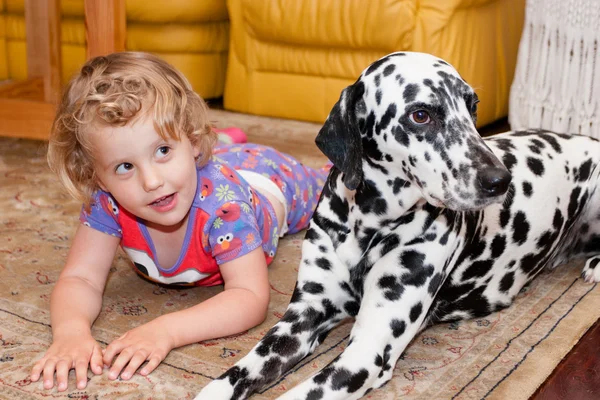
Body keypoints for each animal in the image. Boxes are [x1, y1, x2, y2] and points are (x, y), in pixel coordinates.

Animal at [198, 53, 600, 400]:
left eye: (472, 106)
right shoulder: (302, 319)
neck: (368, 228)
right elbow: (235, 374)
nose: (500, 180)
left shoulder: (366, 351)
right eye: (421, 115)